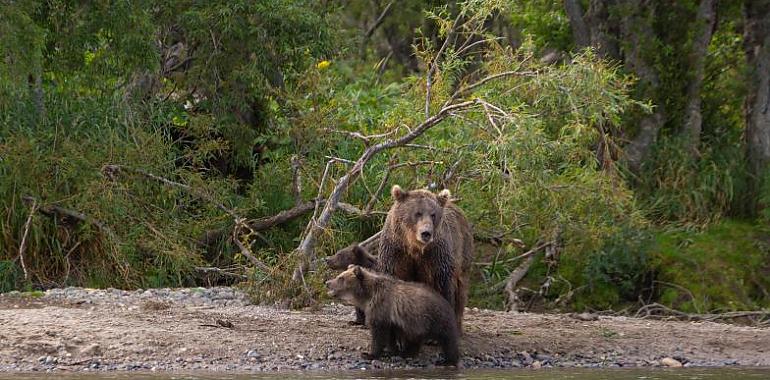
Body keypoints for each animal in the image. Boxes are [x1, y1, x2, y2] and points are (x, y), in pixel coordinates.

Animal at [376, 186, 472, 332]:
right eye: (418, 213)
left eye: (433, 214)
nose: (426, 233)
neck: (414, 247)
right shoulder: (395, 250)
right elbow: (392, 275)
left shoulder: (436, 254)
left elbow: (441, 285)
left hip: (462, 252)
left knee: (460, 289)